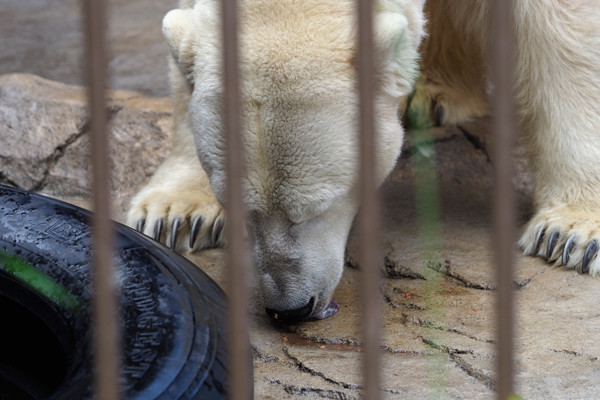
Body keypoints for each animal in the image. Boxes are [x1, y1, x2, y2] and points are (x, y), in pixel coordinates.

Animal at [126, 0, 600, 320]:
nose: (291, 307)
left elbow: (562, 35)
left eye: (315, 208)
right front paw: (177, 211)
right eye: (242, 209)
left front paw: (572, 232)